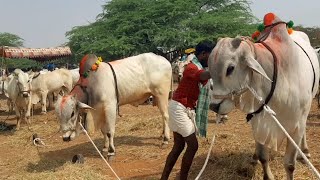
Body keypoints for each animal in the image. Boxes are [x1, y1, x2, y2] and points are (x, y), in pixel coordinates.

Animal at [209, 13, 318, 179]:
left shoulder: (296, 126)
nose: (214, 106)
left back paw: (304, 151)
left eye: (230, 68)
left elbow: (290, 164)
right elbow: (263, 157)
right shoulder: (259, 121)